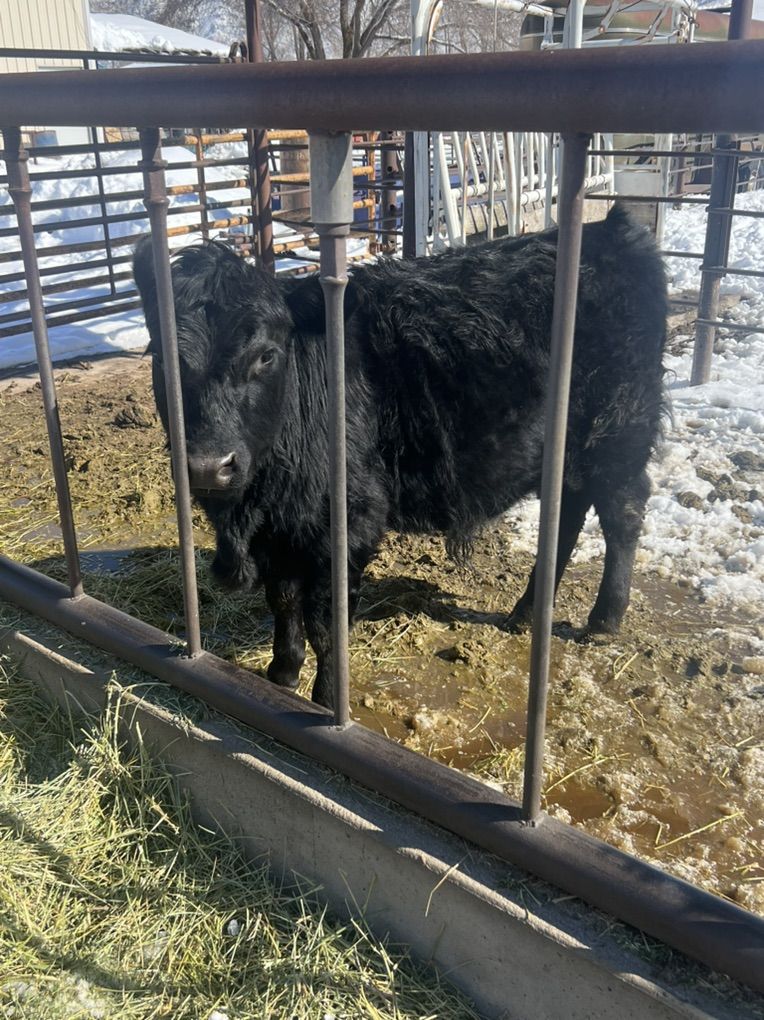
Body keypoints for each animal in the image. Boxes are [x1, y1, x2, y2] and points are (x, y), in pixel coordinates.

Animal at [134, 205, 666, 709]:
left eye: (266, 354)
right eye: (160, 356)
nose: (208, 466)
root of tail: (613, 230)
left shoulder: (349, 522)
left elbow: (327, 624)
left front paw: (328, 703)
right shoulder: (281, 531)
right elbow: (283, 602)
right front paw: (280, 676)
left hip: (619, 432)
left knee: (622, 513)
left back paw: (603, 619)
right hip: (572, 453)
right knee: (569, 514)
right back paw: (526, 613)